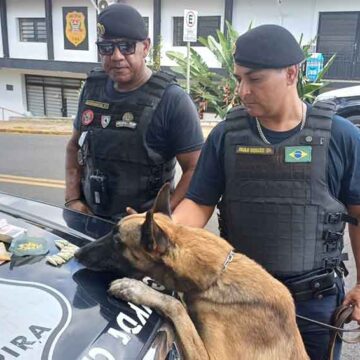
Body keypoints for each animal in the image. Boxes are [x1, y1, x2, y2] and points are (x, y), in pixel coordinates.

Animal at [74, 186, 308, 360]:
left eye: (116, 241)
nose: (77, 253)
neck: (217, 277)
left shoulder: (210, 356)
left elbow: (176, 305)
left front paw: (133, 288)